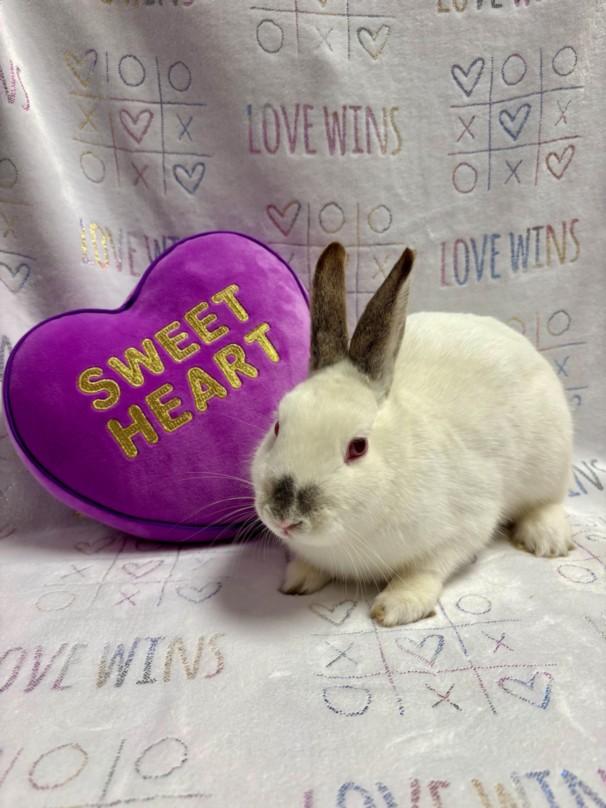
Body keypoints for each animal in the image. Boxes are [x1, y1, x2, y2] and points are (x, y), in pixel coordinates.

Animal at [251, 243, 574, 626]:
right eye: (278, 426)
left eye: (358, 447)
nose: (284, 517)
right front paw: (297, 581)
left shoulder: (464, 526)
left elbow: (425, 569)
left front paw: (396, 607)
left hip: (549, 461)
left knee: (548, 501)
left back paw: (547, 540)